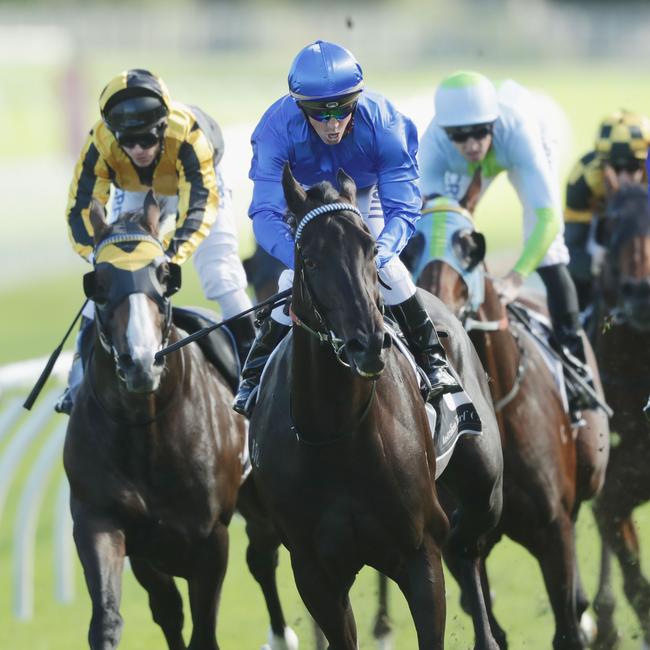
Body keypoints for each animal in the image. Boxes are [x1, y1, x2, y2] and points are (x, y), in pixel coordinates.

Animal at [62, 197, 294, 648]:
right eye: (99, 285)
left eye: (163, 276)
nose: (140, 362)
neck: (144, 432)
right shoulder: (104, 524)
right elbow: (116, 619)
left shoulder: (208, 539)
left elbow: (203, 632)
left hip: (260, 500)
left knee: (265, 557)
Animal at [247, 165, 502, 644]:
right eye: (309, 259)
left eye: (370, 249)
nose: (368, 343)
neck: (336, 431)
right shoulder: (315, 573)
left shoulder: (419, 552)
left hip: (484, 476)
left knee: (469, 539)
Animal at [404, 200, 608, 644]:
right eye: (412, 248)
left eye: (470, 248)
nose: (436, 317)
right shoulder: (459, 536)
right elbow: (488, 621)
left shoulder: (554, 532)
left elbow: (567, 629)